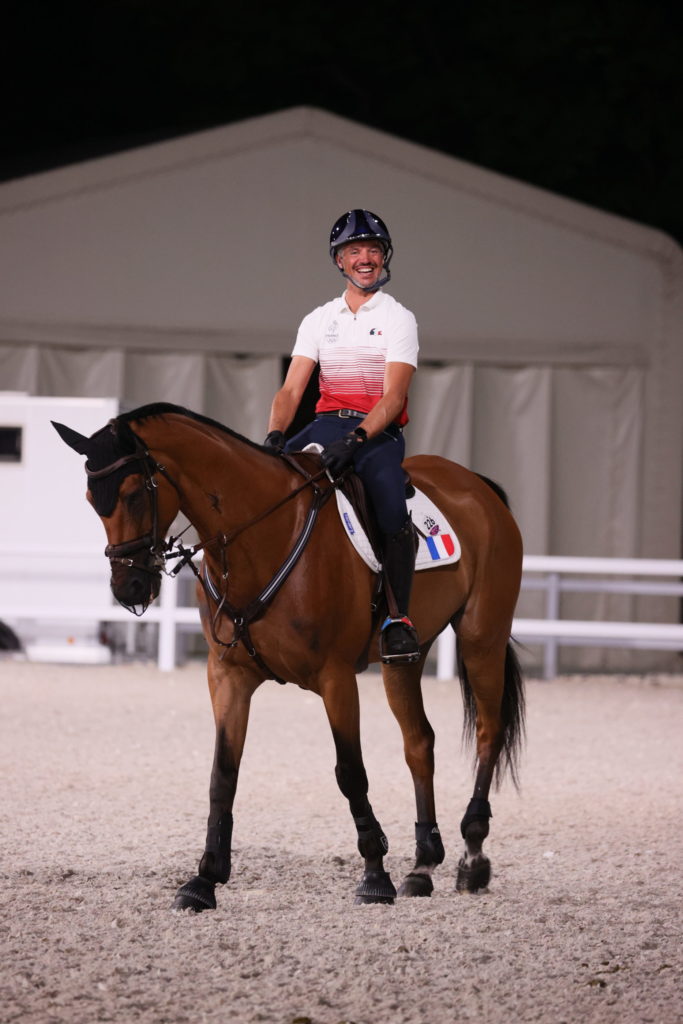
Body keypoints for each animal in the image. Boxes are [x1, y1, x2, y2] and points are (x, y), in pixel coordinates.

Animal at [53, 403, 528, 909]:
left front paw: (374, 875)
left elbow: (350, 772)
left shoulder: (335, 678)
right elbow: (223, 774)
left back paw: (472, 858)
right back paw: (422, 867)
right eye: (91, 498)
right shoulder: (228, 676)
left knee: (488, 732)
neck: (261, 535)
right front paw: (204, 879)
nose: (129, 588)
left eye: (133, 495)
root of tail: (477, 485)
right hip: (405, 660)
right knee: (419, 742)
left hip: (482, 637)